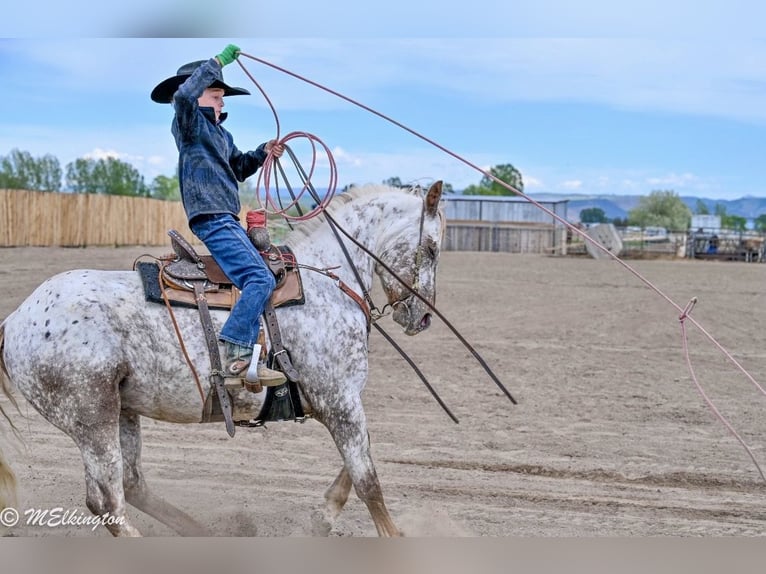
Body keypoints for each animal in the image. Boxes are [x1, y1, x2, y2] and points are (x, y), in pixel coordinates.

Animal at [0, 181, 445, 537]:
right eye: (432, 247)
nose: (422, 317)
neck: (325, 287)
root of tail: (15, 320)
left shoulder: (343, 406)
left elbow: (360, 464)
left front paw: (323, 517)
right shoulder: (341, 402)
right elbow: (368, 480)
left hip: (122, 409)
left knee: (132, 484)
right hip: (91, 417)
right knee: (107, 501)